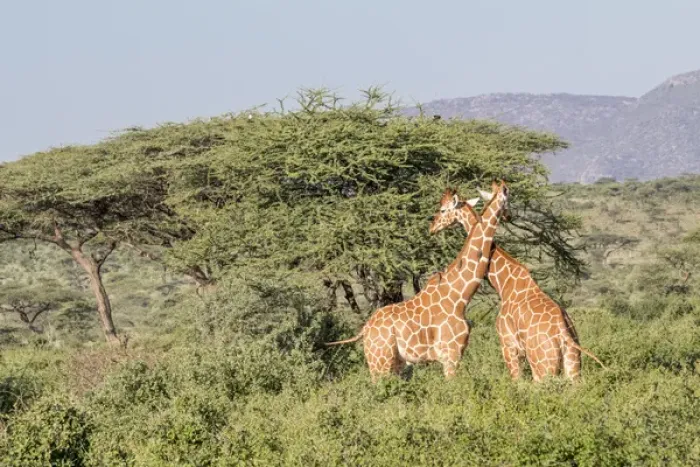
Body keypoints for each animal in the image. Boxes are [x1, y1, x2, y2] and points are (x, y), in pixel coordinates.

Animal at [326, 181, 510, 382]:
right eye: (442, 209)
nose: (432, 227)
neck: (460, 296)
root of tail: (365, 329)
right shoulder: (450, 354)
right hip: (380, 363)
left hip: (393, 363)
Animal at [429, 187, 605, 382]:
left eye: (442, 210)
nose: (432, 227)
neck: (504, 282)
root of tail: (564, 334)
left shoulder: (508, 345)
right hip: (573, 366)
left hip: (542, 368)